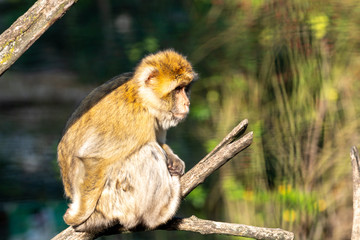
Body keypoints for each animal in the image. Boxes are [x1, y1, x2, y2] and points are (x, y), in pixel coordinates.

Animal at [57, 49, 197, 233]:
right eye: (177, 89)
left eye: (185, 89)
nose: (187, 103)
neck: (142, 98)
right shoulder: (134, 118)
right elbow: (92, 158)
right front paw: (79, 215)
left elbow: (159, 140)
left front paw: (174, 159)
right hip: (115, 201)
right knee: (149, 151)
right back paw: (159, 214)